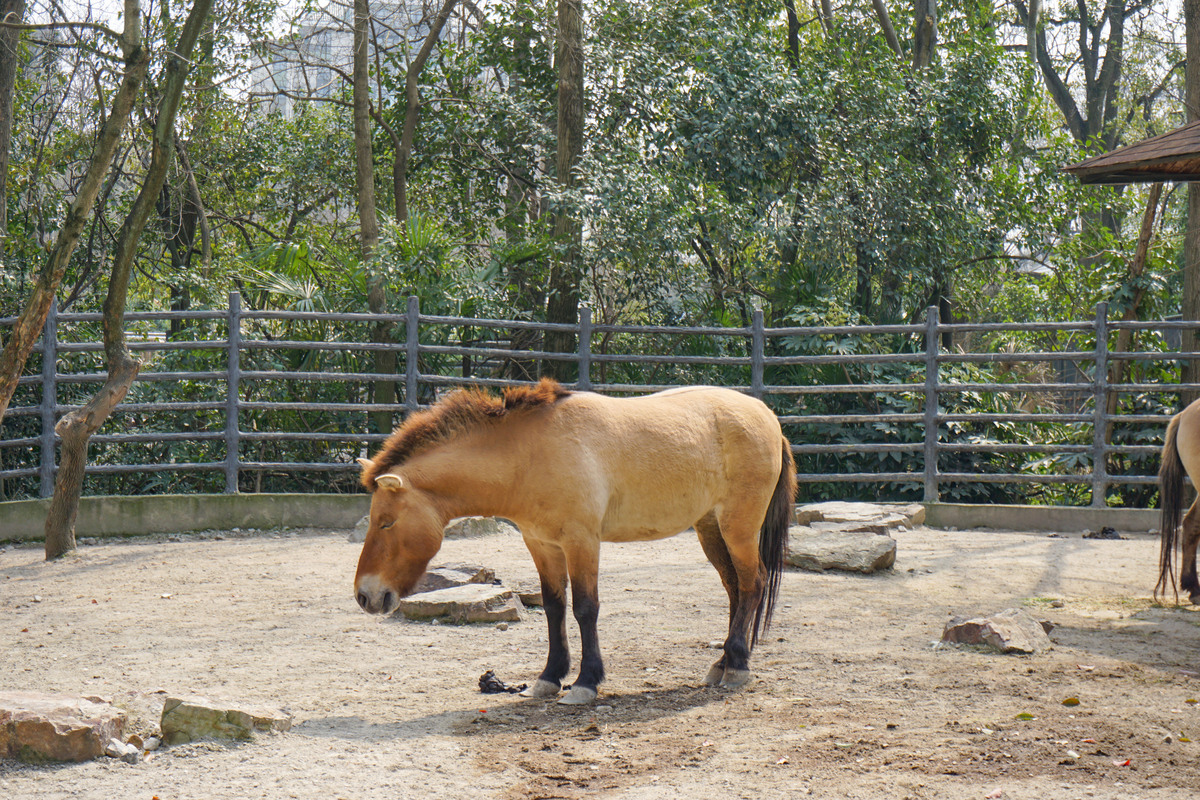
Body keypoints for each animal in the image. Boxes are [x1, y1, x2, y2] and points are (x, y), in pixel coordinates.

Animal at [350, 379, 792, 705]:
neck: (528, 454)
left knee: (753, 584)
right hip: (709, 528)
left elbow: (585, 608)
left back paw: (737, 667)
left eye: (386, 523)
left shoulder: (582, 541)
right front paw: (549, 677)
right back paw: (722, 664)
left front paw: (585, 682)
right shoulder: (541, 543)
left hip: (739, 527)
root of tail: (768, 417)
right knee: (735, 589)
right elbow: (554, 607)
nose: (365, 596)